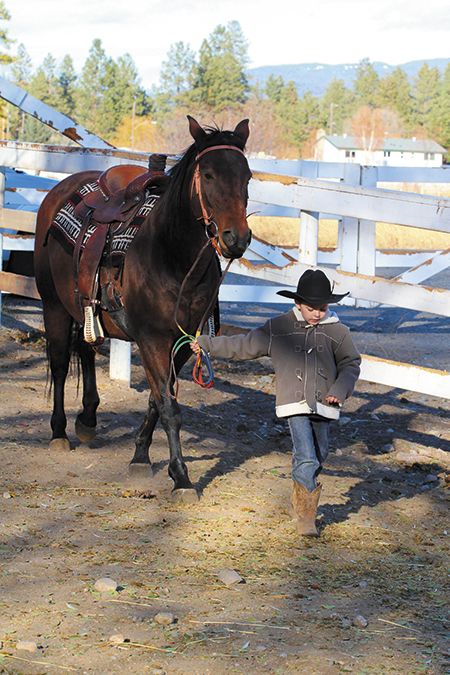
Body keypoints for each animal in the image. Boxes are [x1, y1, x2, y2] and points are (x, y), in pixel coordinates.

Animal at [34, 116, 252, 502]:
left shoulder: (183, 342)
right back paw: (59, 432)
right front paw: (181, 477)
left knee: (85, 351)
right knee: (59, 364)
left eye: (247, 176)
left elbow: (156, 397)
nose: (235, 238)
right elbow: (168, 406)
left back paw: (88, 419)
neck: (172, 256)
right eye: (209, 174)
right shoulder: (152, 339)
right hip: (53, 304)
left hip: (84, 309)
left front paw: (140, 456)